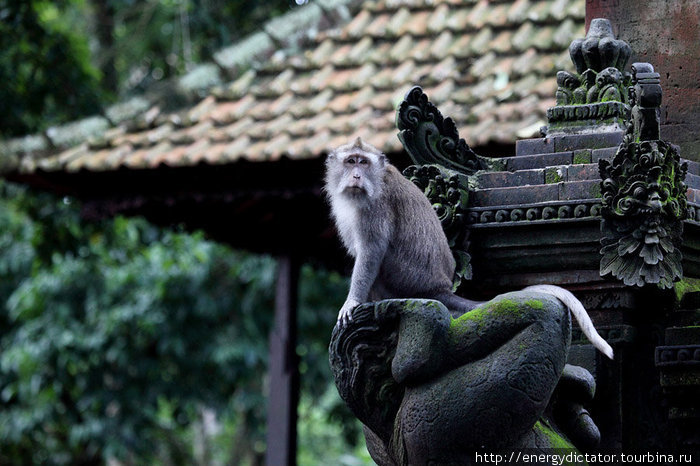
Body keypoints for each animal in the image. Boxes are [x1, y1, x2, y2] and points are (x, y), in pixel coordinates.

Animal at [324, 137, 612, 358]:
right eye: (350, 161)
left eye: (363, 162)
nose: (357, 175)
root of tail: (438, 288)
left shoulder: (374, 206)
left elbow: (371, 252)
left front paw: (352, 302)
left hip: (403, 277)